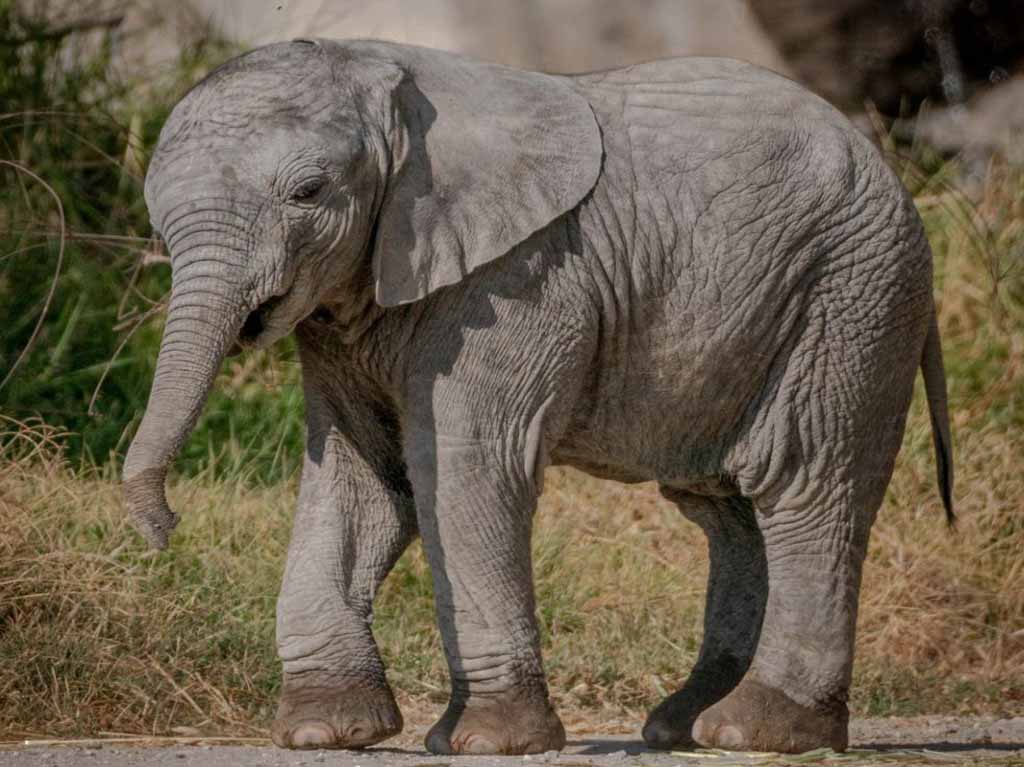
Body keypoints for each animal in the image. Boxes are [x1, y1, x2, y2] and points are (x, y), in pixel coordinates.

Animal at [123, 37, 954, 753]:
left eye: (307, 193)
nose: (166, 529)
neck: (392, 82)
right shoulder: (347, 305)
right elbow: (362, 481)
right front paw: (324, 732)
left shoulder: (517, 281)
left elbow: (464, 469)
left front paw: (487, 742)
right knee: (729, 510)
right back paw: (682, 725)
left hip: (851, 295)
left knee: (805, 483)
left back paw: (756, 731)